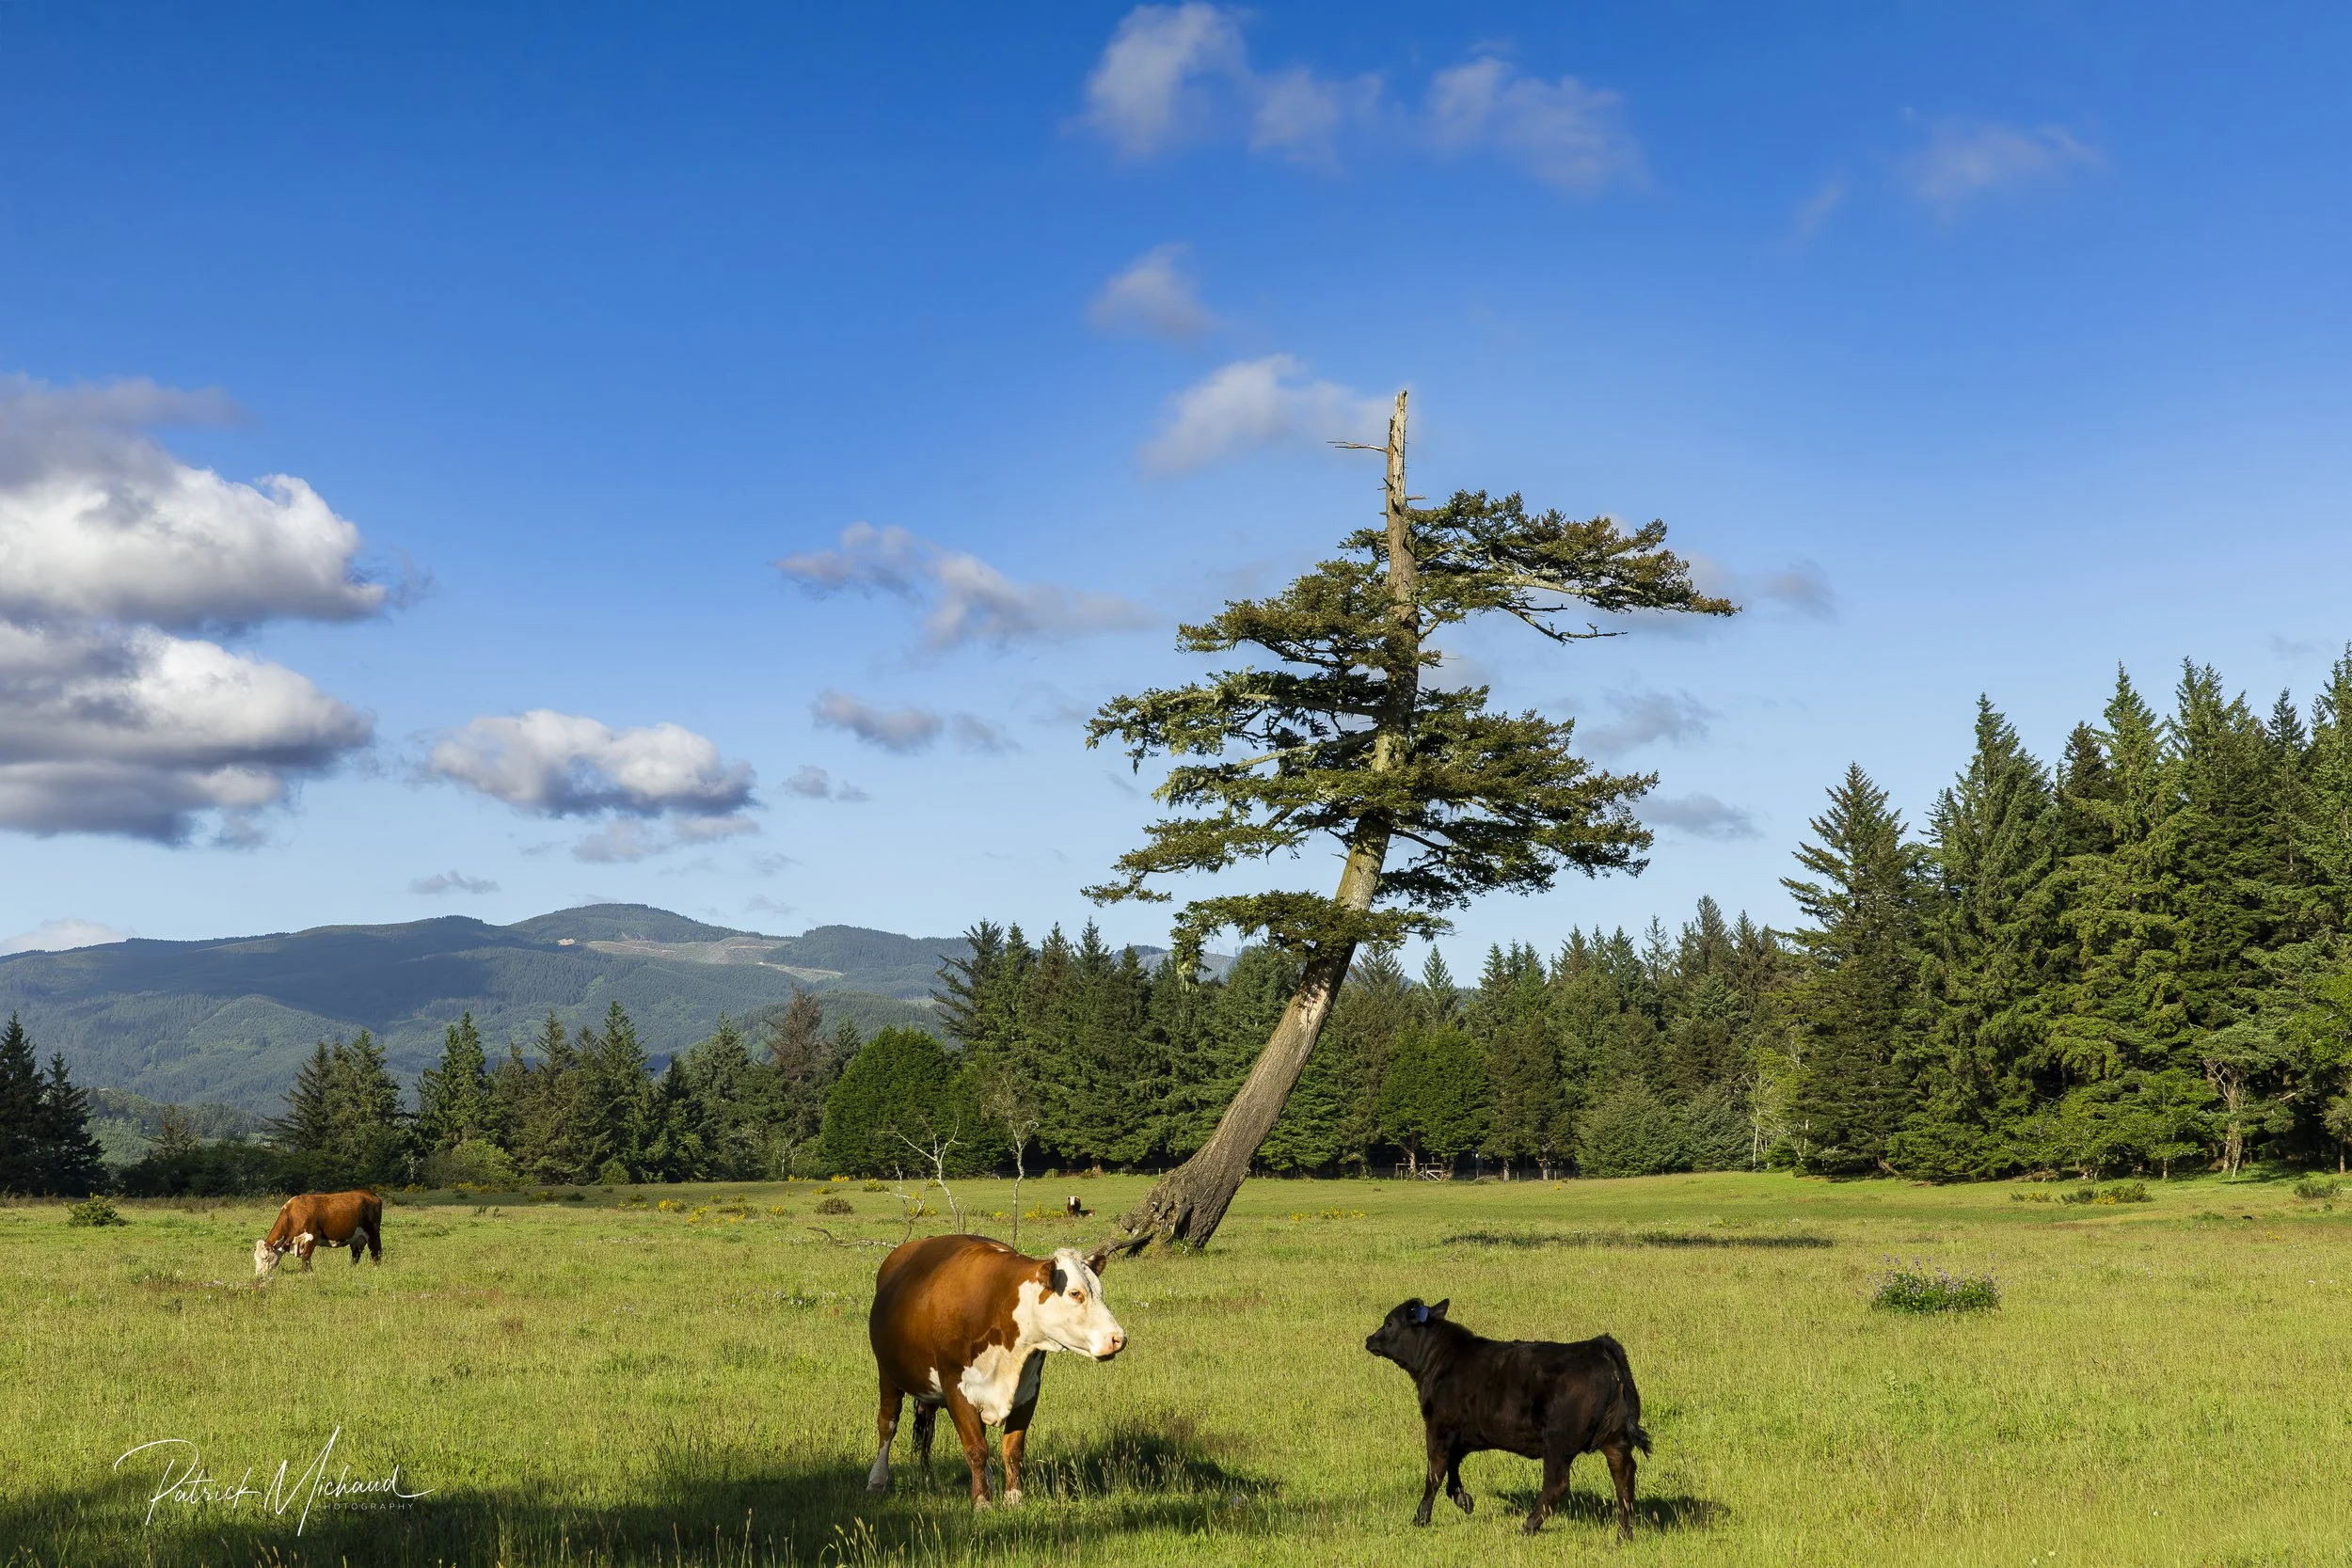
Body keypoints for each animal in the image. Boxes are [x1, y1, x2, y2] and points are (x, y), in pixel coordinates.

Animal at [253, 1191, 383, 1284]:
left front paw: (304, 1274)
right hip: (357, 1238)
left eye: (265, 1257)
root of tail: (370, 1194)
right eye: (255, 1259)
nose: (259, 1276)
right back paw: (351, 1269)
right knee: (356, 1254)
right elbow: (307, 1258)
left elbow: (306, 1256)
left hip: (373, 1233)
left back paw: (375, 1269)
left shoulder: (312, 1236)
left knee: (376, 1252)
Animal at [866, 1234, 1125, 1509]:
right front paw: (982, 1501)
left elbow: (1012, 1448)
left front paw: (1013, 1498)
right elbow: (976, 1448)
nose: (1118, 1338)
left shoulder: (1028, 1390)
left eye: (1100, 1292)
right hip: (887, 1373)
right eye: (1075, 1293)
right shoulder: (956, 1387)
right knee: (887, 1423)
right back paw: (877, 1480)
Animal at [1365, 1297, 1652, 1541]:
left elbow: (1434, 1474)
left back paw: (1528, 1526)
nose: (1369, 1339)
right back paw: (1624, 1534)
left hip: (1557, 1442)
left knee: (1557, 1484)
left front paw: (1421, 1518)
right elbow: (1452, 1467)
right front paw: (1463, 1500)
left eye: (1389, 1323)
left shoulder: (1438, 1428)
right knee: (1623, 1476)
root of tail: (1597, 1346)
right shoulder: (1463, 1434)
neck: (1441, 1360)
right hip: (1616, 1440)